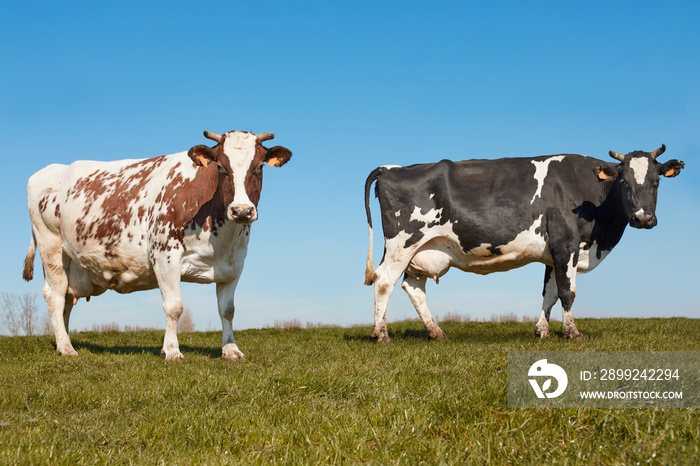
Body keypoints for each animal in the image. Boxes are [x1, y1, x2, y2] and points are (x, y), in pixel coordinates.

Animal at [23, 130, 292, 360]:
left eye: (258, 167)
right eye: (221, 168)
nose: (242, 211)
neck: (221, 238)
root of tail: (47, 170)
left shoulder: (233, 265)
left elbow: (227, 310)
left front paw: (231, 350)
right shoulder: (165, 256)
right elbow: (174, 307)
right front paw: (172, 351)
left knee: (67, 299)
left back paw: (63, 341)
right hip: (51, 247)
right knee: (55, 296)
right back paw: (66, 347)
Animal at [366, 144, 684, 340]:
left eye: (656, 181)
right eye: (624, 182)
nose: (643, 218)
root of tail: (391, 168)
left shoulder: (553, 253)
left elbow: (550, 293)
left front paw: (542, 331)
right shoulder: (566, 244)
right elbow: (568, 292)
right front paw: (572, 333)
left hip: (423, 251)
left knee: (413, 288)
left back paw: (436, 333)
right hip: (401, 244)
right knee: (384, 282)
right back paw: (381, 334)